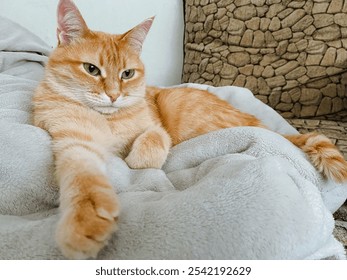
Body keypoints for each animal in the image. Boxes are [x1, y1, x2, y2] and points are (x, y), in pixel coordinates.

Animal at [32, 0, 347, 260]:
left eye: (127, 74)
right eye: (91, 69)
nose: (113, 95)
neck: (109, 120)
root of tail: (263, 124)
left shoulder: (156, 127)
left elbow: (152, 145)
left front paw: (134, 158)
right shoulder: (75, 140)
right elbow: (83, 179)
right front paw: (86, 223)